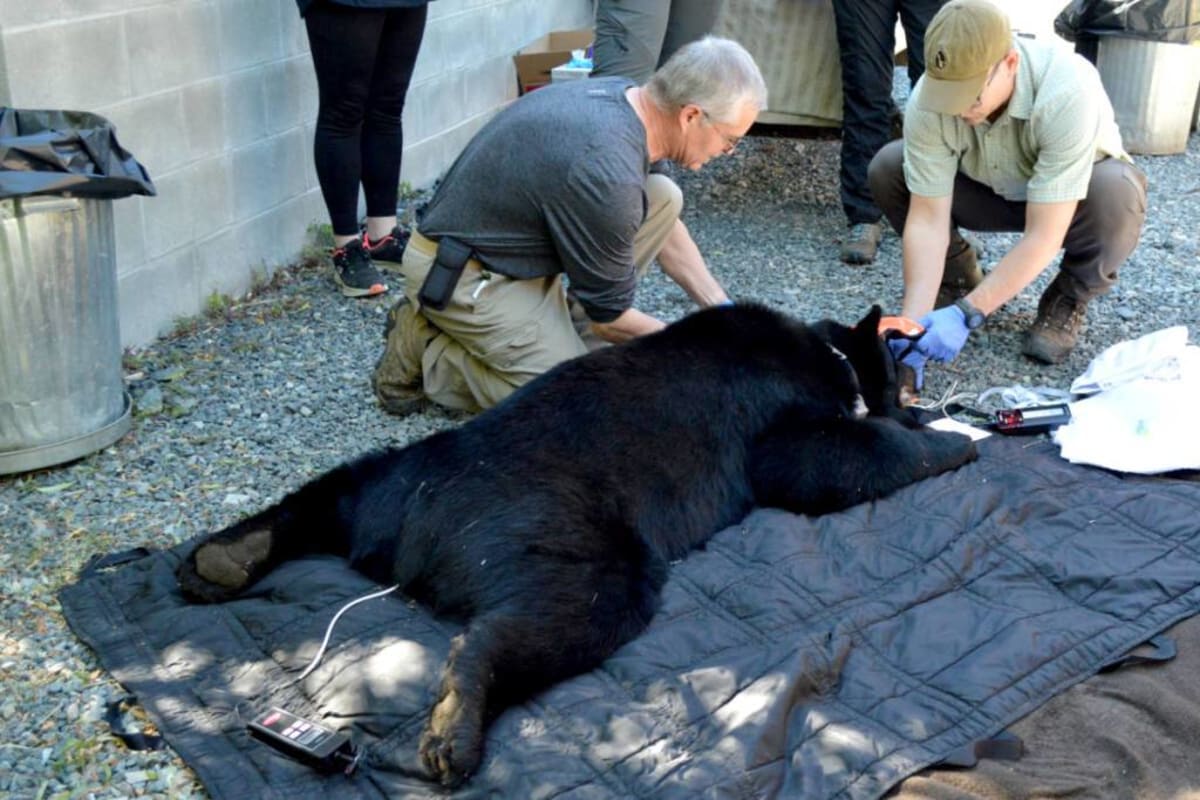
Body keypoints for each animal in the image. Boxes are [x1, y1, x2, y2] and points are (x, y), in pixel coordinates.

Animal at [176, 303, 976, 787]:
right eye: (902, 377)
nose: (916, 397)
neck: (828, 352)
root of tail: (410, 537)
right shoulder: (776, 419)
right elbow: (826, 458)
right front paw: (949, 440)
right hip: (568, 534)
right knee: (548, 616)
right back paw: (455, 730)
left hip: (390, 476)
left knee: (326, 494)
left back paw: (222, 558)